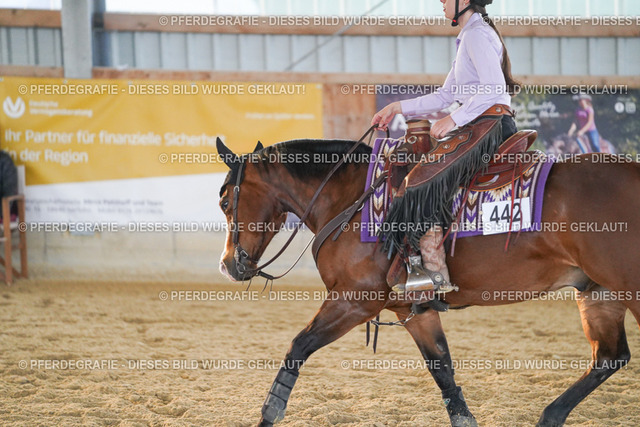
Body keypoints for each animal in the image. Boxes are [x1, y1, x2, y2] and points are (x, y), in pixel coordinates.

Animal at [215, 136, 640, 427]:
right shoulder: (413, 309)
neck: (351, 202)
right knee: (609, 356)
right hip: (598, 292)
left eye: (224, 201)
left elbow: (298, 347)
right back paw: (550, 416)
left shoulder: (354, 300)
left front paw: (268, 413)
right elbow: (442, 369)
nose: (229, 265)